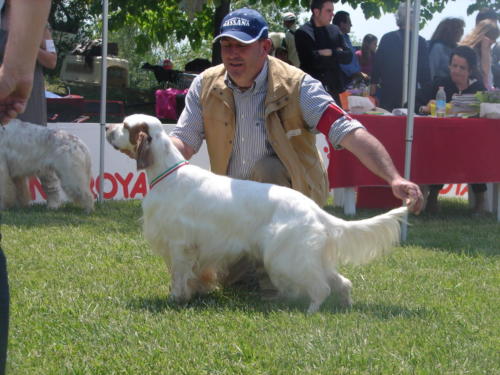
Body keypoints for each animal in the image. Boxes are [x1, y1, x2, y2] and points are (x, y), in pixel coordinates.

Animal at [107, 114, 408, 314]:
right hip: (310, 255)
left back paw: (310, 312)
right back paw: (343, 305)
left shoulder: (180, 245)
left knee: (321, 287)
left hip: (286, 256)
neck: (167, 174)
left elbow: (179, 278)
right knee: (342, 281)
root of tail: (315, 210)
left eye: (125, 126)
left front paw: (175, 300)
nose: (107, 127)